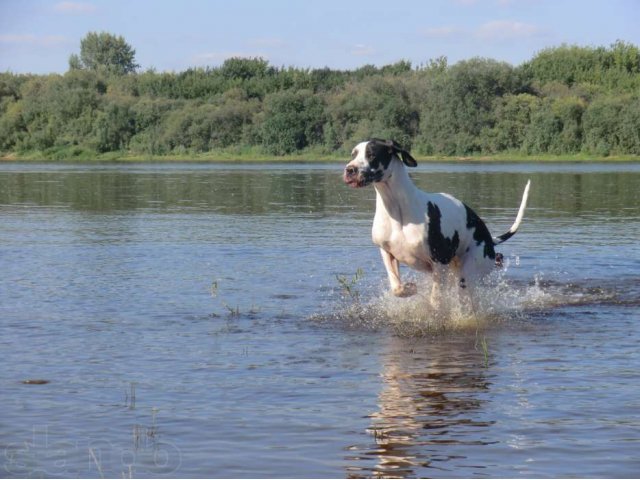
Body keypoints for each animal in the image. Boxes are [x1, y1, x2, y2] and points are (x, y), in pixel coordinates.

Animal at [344, 137, 528, 298]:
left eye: (371, 154)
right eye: (353, 154)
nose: (349, 169)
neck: (397, 209)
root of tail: (489, 238)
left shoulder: (440, 262)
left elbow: (436, 300)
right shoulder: (387, 253)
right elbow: (397, 288)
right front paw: (408, 289)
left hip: (467, 275)